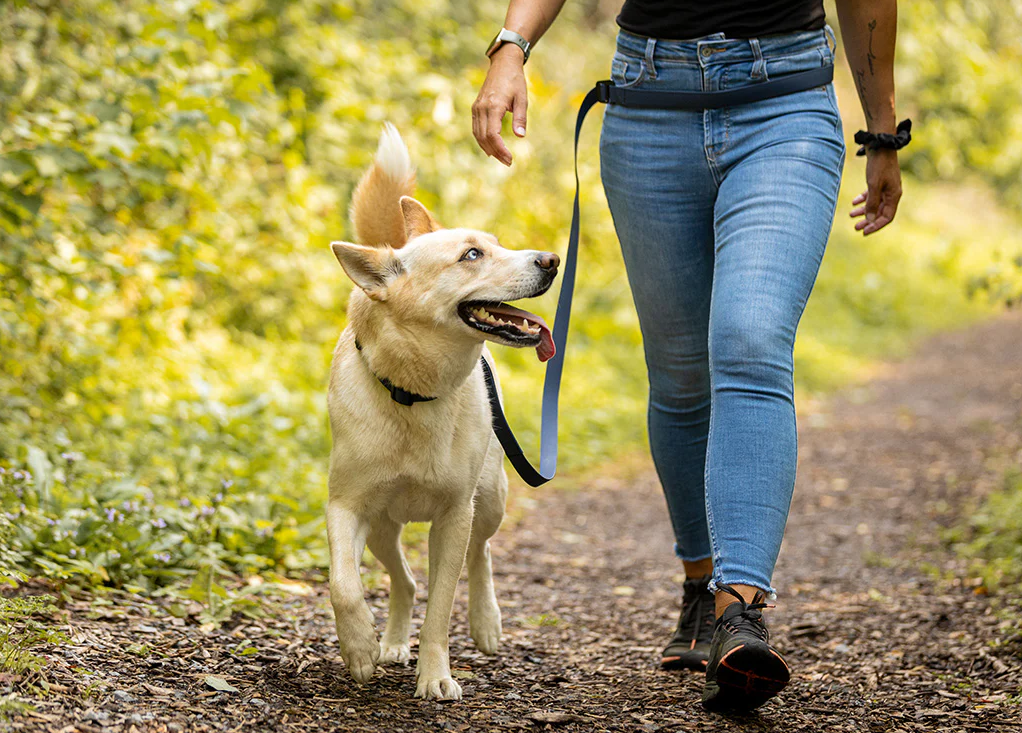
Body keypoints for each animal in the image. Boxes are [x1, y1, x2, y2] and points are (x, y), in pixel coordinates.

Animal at [327, 124, 560, 699]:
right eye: (471, 255)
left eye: (497, 245)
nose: (551, 259)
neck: (415, 395)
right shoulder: (345, 505)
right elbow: (343, 584)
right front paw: (360, 649)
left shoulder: (455, 514)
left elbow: (442, 606)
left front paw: (434, 676)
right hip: (383, 526)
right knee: (405, 581)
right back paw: (390, 643)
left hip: (490, 497)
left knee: (481, 554)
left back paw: (486, 622)